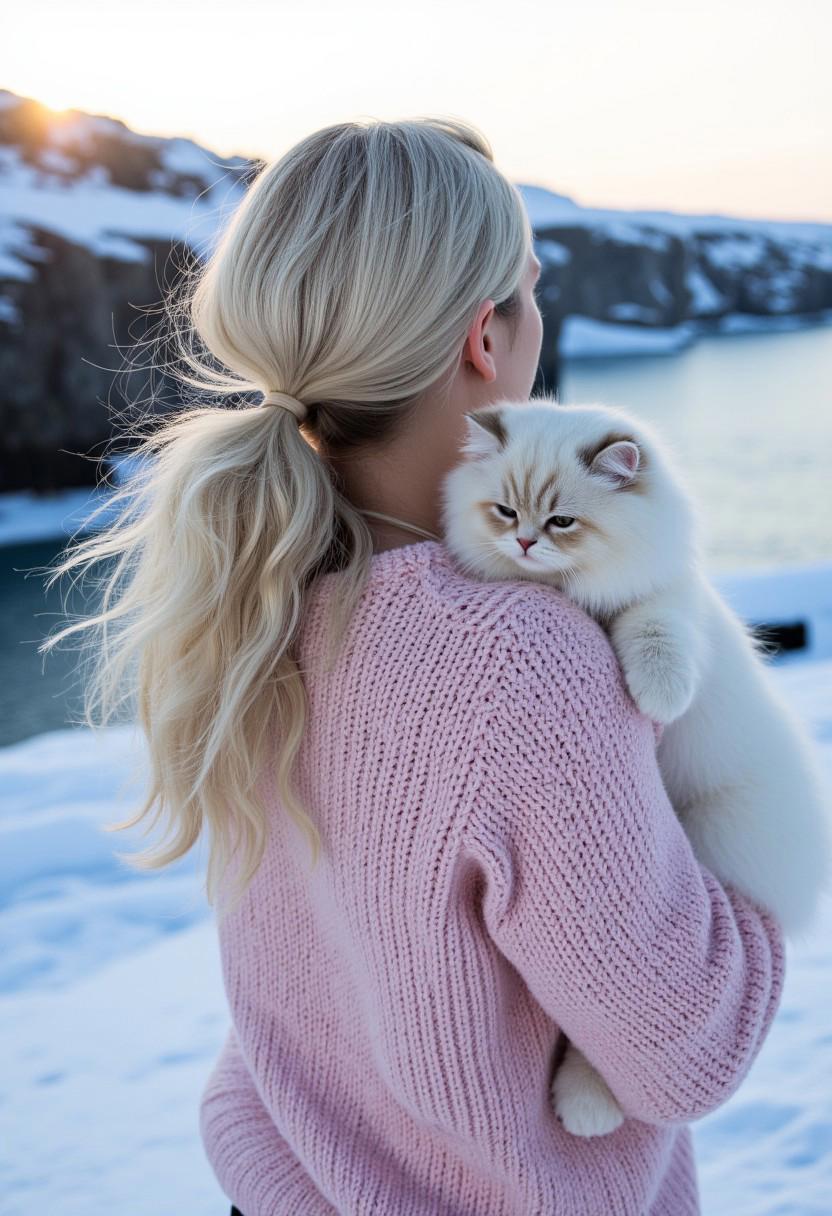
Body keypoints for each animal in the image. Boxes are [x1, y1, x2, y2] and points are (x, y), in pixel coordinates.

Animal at [437, 393, 827, 1133]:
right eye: (504, 511)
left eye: (561, 521)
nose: (524, 542)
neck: (576, 588)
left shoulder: (665, 600)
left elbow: (655, 633)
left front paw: (656, 696)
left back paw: (583, 1106)